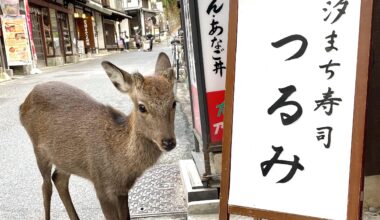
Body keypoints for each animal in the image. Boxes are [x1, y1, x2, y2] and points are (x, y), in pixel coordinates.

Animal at [19, 52, 177, 219]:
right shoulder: (101, 185)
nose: (168, 142)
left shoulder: (122, 190)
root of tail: (23, 104)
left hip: (63, 158)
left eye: (174, 102)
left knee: (58, 179)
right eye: (142, 107)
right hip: (39, 150)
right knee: (46, 186)